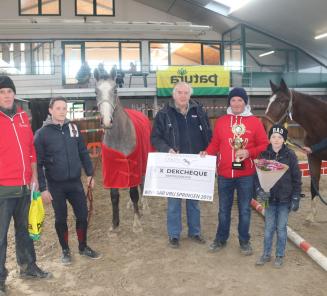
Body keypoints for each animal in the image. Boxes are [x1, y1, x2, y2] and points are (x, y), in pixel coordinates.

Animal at [93, 71, 152, 231]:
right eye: (96, 92)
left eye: (115, 90)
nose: (107, 121)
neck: (119, 136)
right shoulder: (112, 167)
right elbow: (114, 195)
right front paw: (114, 224)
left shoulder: (133, 163)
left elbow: (133, 192)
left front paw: (136, 222)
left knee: (141, 182)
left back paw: (144, 205)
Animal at [264, 79, 327, 222]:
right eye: (269, 100)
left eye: (282, 101)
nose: (264, 125)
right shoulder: (313, 157)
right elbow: (314, 184)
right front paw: (311, 216)